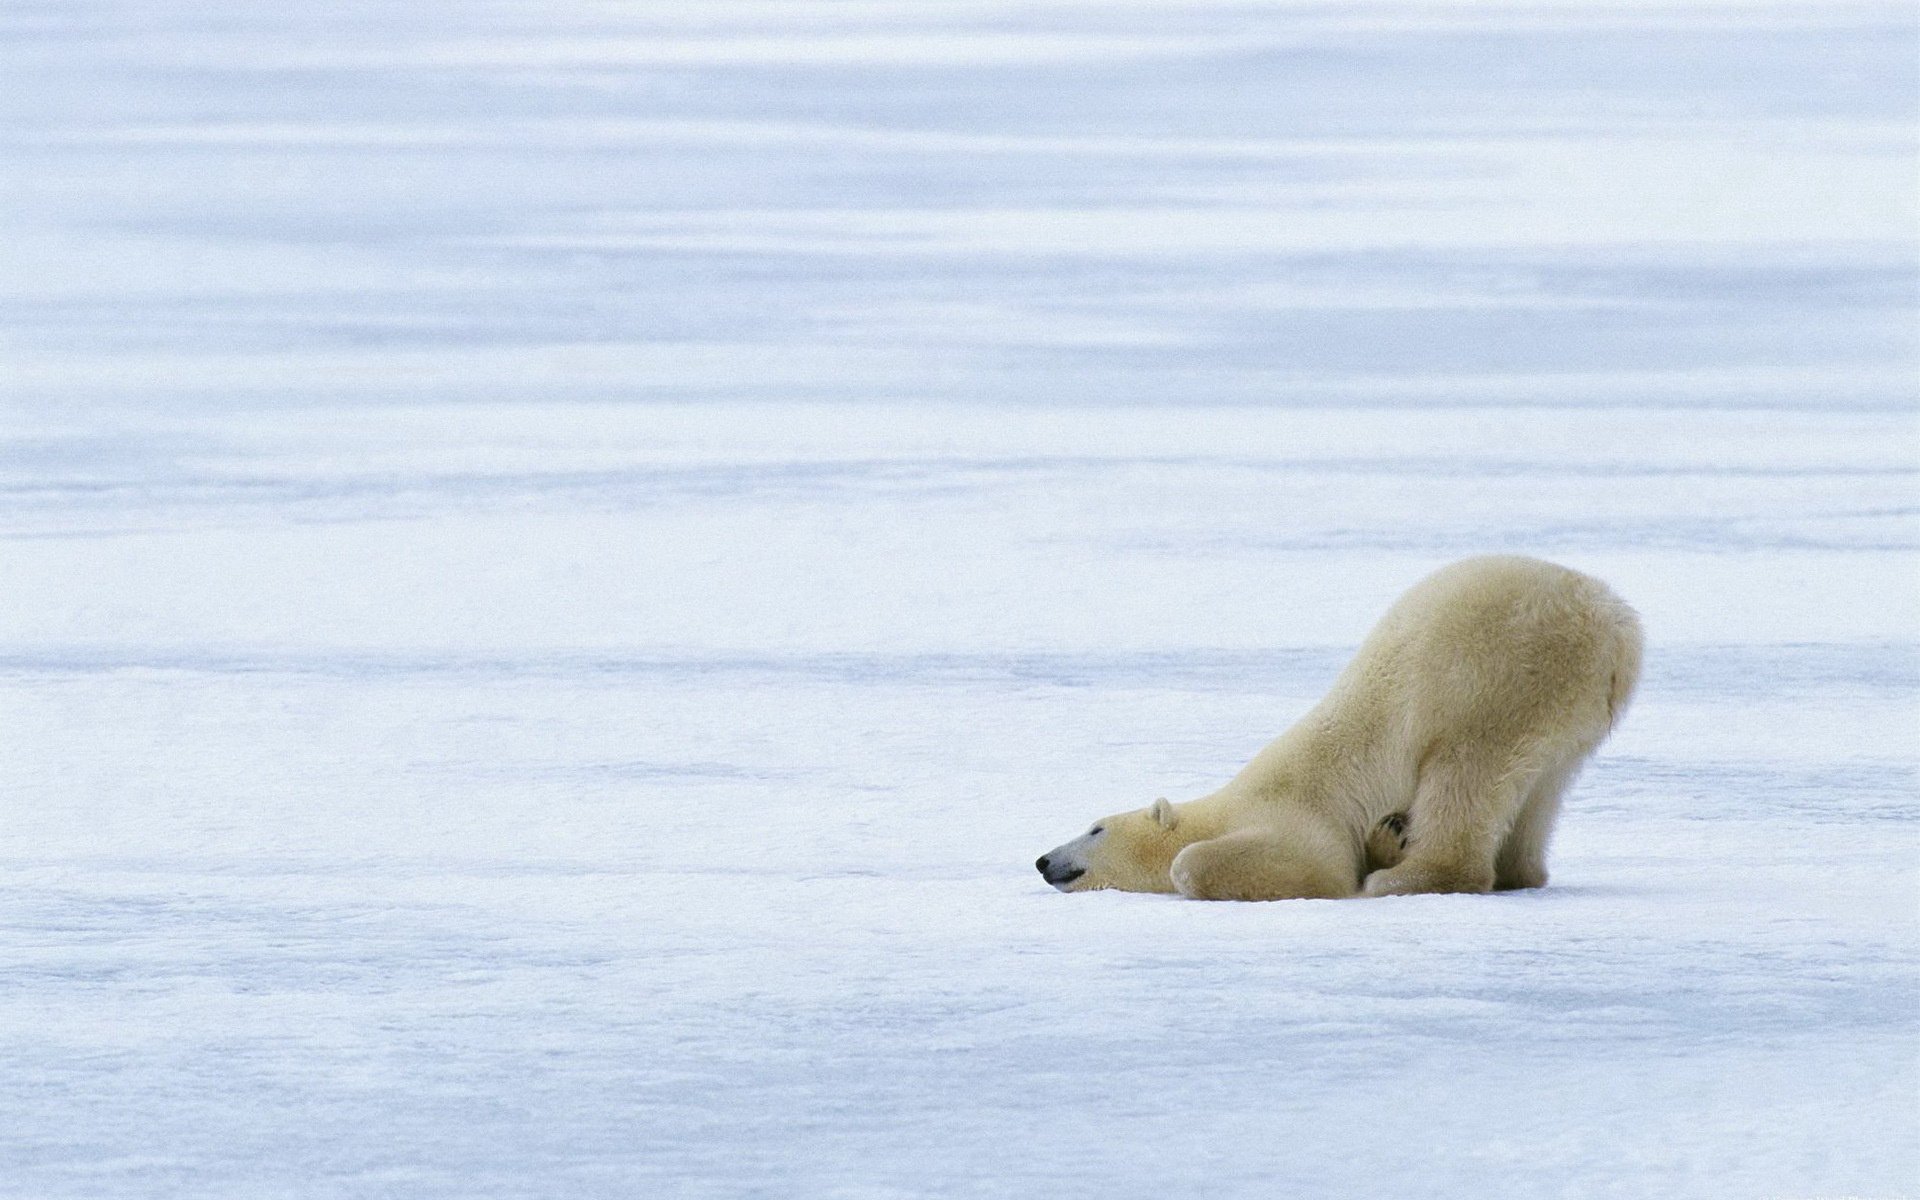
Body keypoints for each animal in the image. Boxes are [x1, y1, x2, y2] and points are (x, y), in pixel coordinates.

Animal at [1034, 555, 1642, 900]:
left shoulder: (1298, 816)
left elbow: (1291, 866)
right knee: (1540, 790)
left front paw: (1370, 866)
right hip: (1569, 711)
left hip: (1497, 676)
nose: (1042, 860)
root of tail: (1616, 625)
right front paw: (1387, 837)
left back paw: (1406, 880)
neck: (1227, 806)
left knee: (1465, 774)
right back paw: (1516, 869)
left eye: (1095, 828)